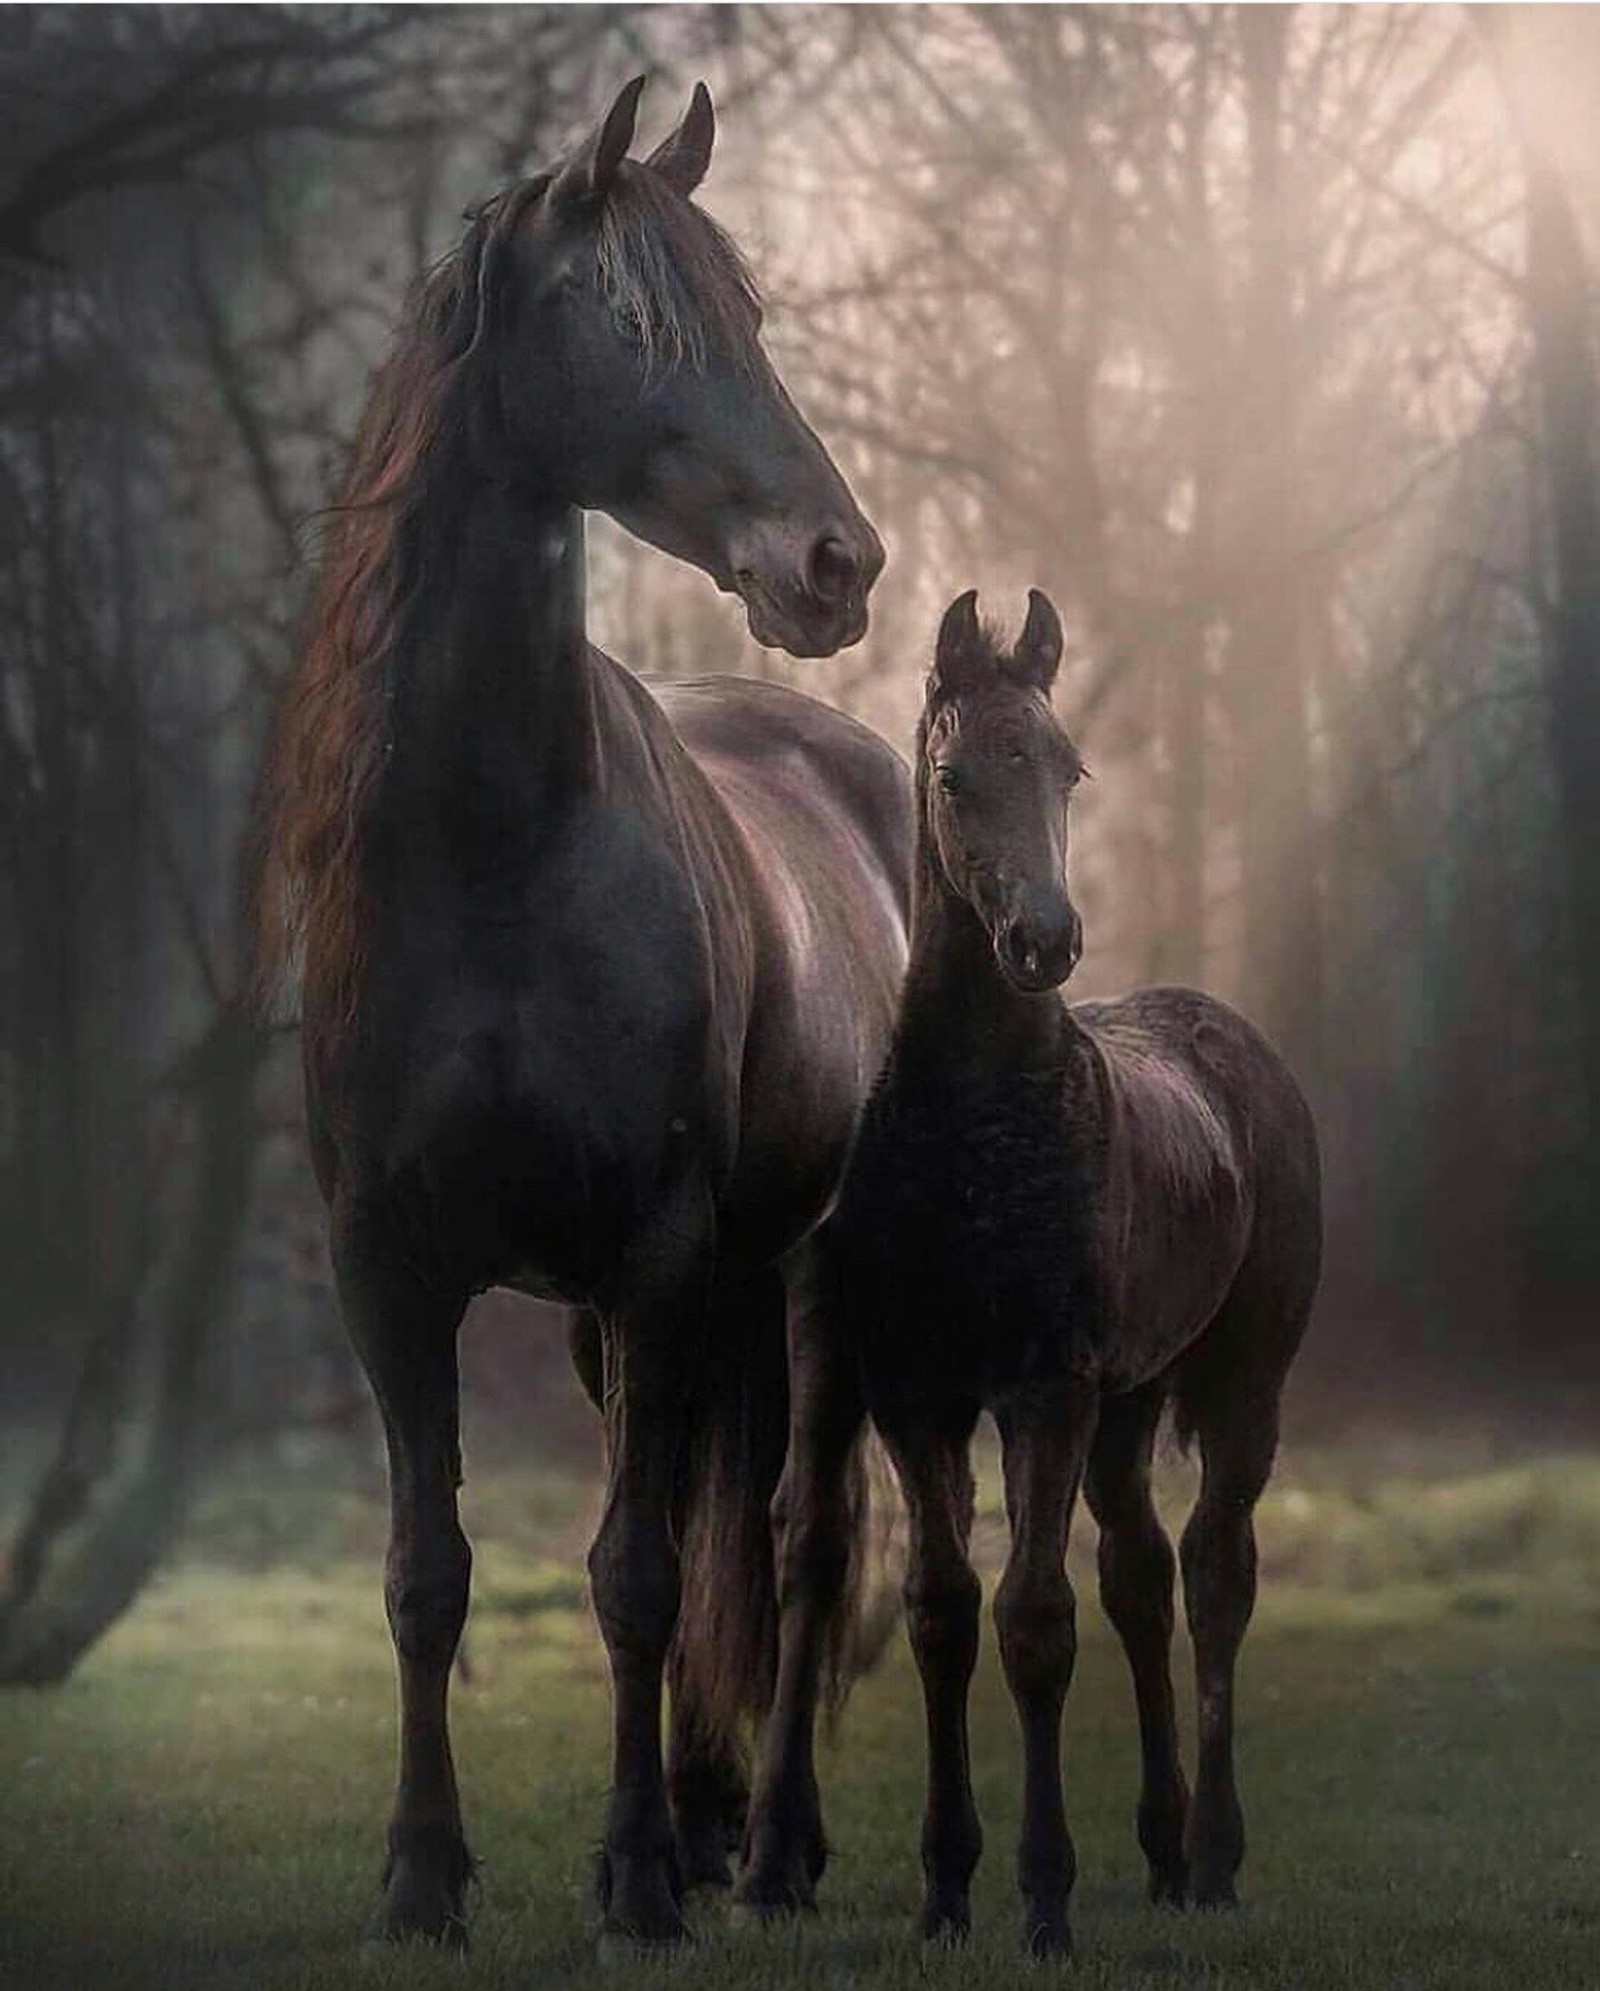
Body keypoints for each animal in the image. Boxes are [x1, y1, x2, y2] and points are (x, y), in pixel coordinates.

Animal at [260, 77, 911, 1943]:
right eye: (626, 319)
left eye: (746, 316)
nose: (838, 561)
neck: (499, 847)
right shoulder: (392, 1270)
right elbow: (428, 1575)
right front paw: (423, 1873)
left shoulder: (654, 1248)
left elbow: (633, 1572)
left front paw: (630, 1878)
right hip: (665, 1310)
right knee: (723, 1517)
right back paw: (706, 1813)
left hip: (806, 1281)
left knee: (793, 1539)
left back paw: (765, 1845)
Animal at [748, 589, 1321, 1959]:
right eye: (956, 778)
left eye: (1069, 770)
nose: (1044, 939)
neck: (975, 1123)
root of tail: (1232, 1038)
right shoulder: (920, 1388)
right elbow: (944, 1607)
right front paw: (946, 1886)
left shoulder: (1039, 1389)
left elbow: (1033, 1620)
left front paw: (1045, 1894)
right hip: (1127, 1401)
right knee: (1142, 1572)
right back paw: (1162, 1846)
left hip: (1240, 1382)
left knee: (1216, 1571)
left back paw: (1212, 1853)